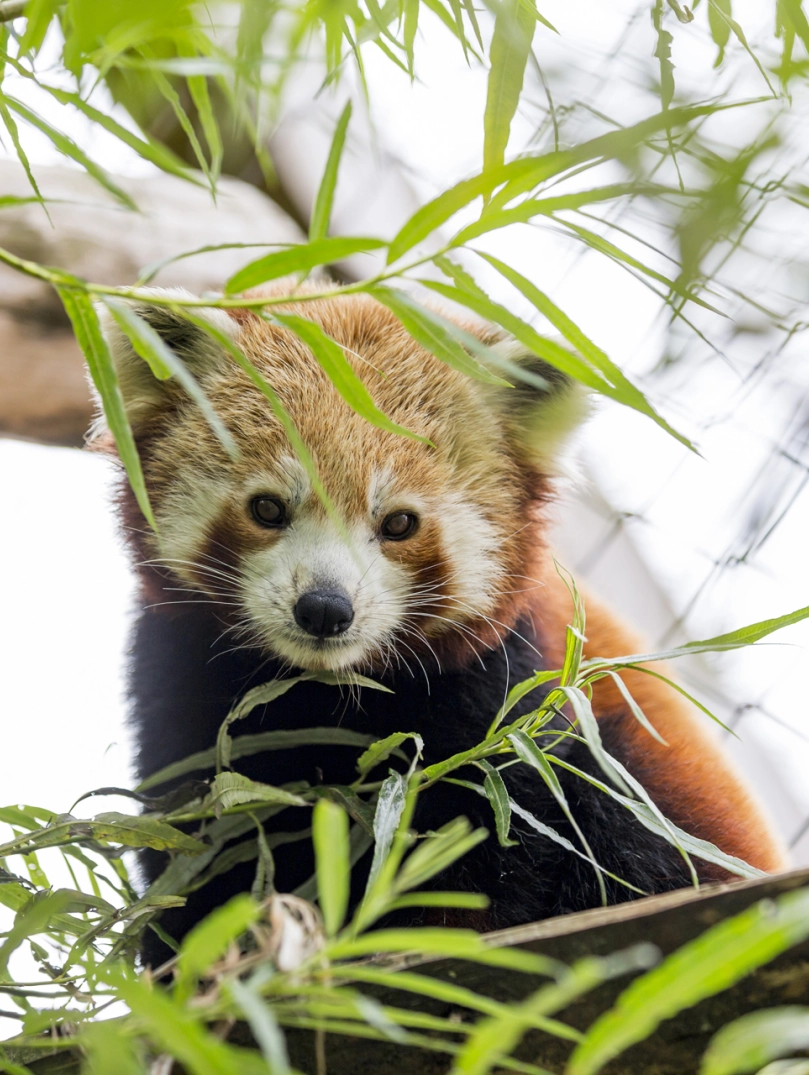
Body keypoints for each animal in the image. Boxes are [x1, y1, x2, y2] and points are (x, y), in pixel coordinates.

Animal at [92, 284, 787, 964]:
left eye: (399, 523)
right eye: (267, 509)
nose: (325, 608)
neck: (324, 692)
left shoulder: (501, 697)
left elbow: (486, 847)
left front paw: (415, 938)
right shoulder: (185, 681)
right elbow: (202, 836)